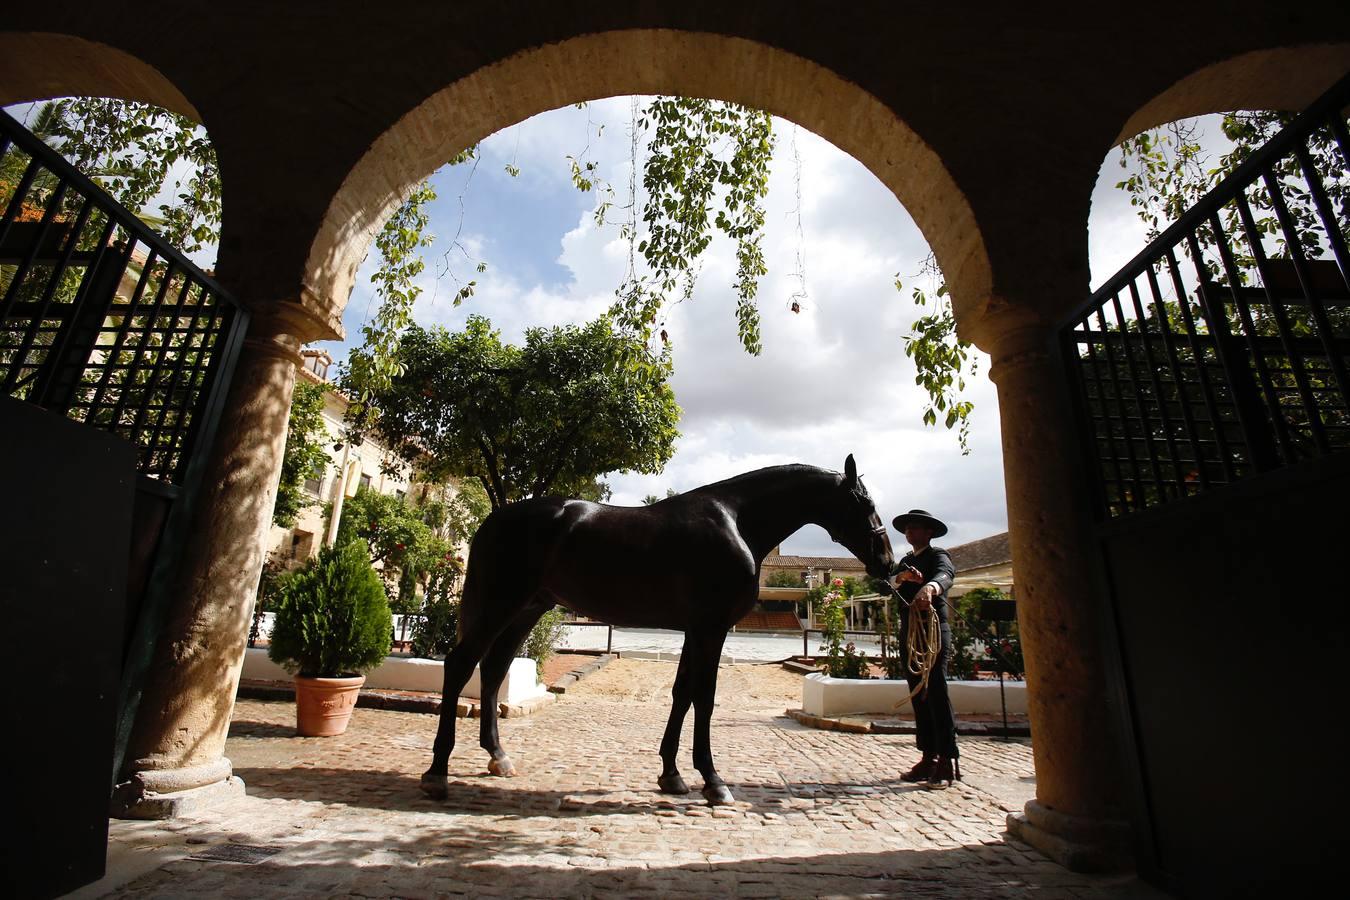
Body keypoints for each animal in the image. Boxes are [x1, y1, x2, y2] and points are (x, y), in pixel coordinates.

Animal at [415, 453, 891, 804]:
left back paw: (498, 757)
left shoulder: (695, 630)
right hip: (501, 603)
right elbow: (705, 698)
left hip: (527, 608)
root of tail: (495, 519)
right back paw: (437, 773)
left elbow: (682, 694)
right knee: (460, 665)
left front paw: (672, 775)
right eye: (865, 505)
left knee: (494, 669)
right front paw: (713, 781)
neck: (735, 522)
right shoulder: (711, 628)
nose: (886, 562)